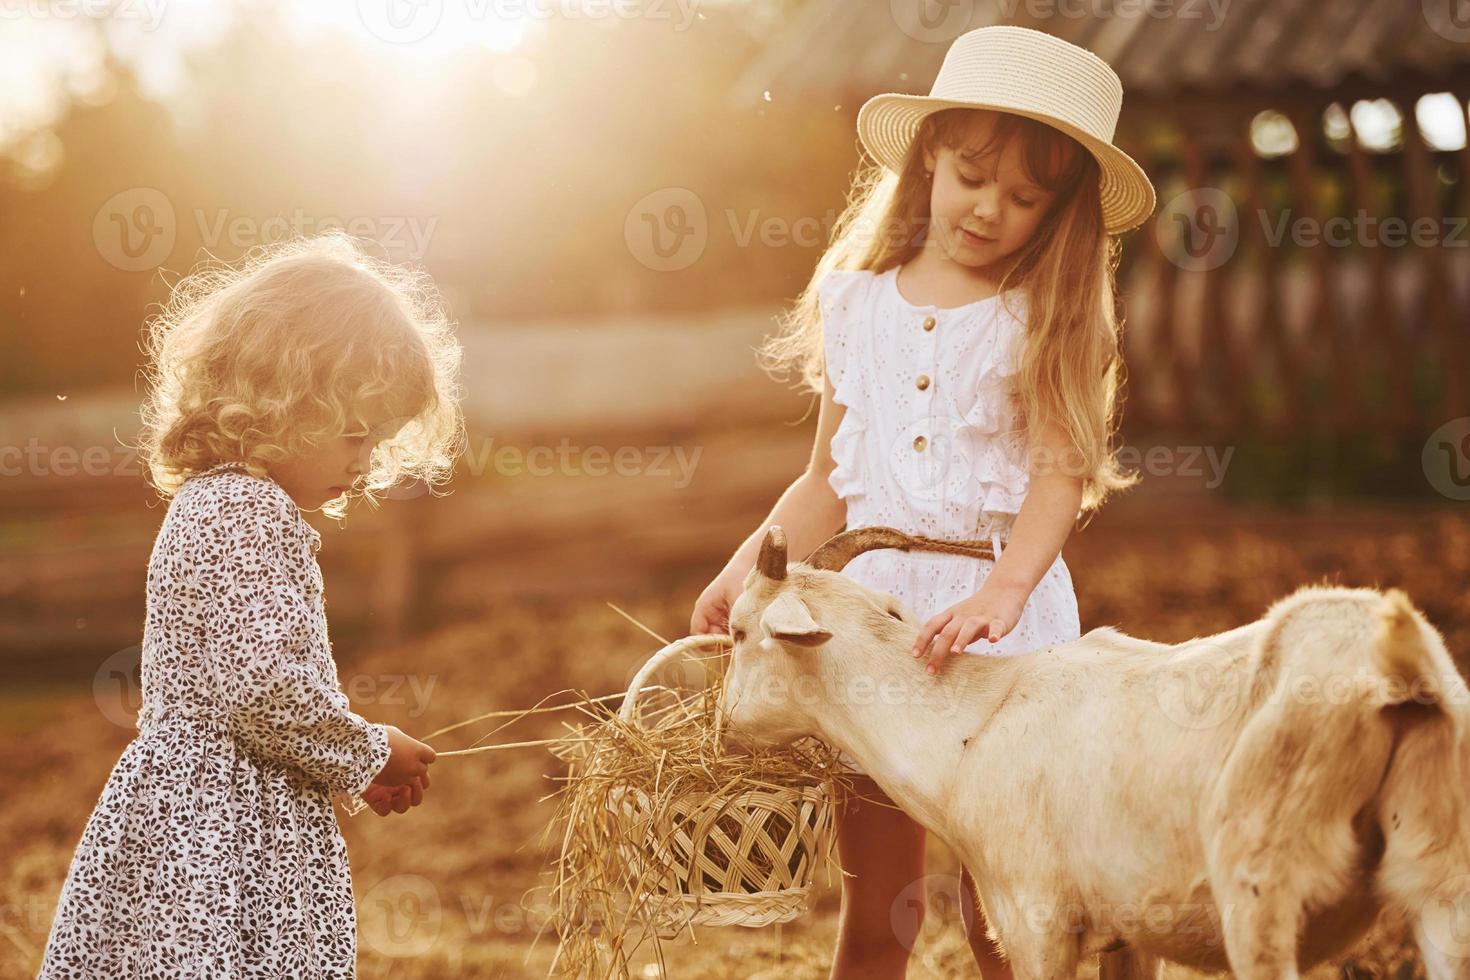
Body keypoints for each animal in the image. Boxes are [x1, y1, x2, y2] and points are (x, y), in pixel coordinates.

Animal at [720, 528, 1470, 980]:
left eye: (737, 632)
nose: (722, 729)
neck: (968, 729)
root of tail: (1395, 662)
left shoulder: (1037, 923)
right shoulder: (1130, 932)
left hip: (1263, 895)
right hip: (1443, 881)